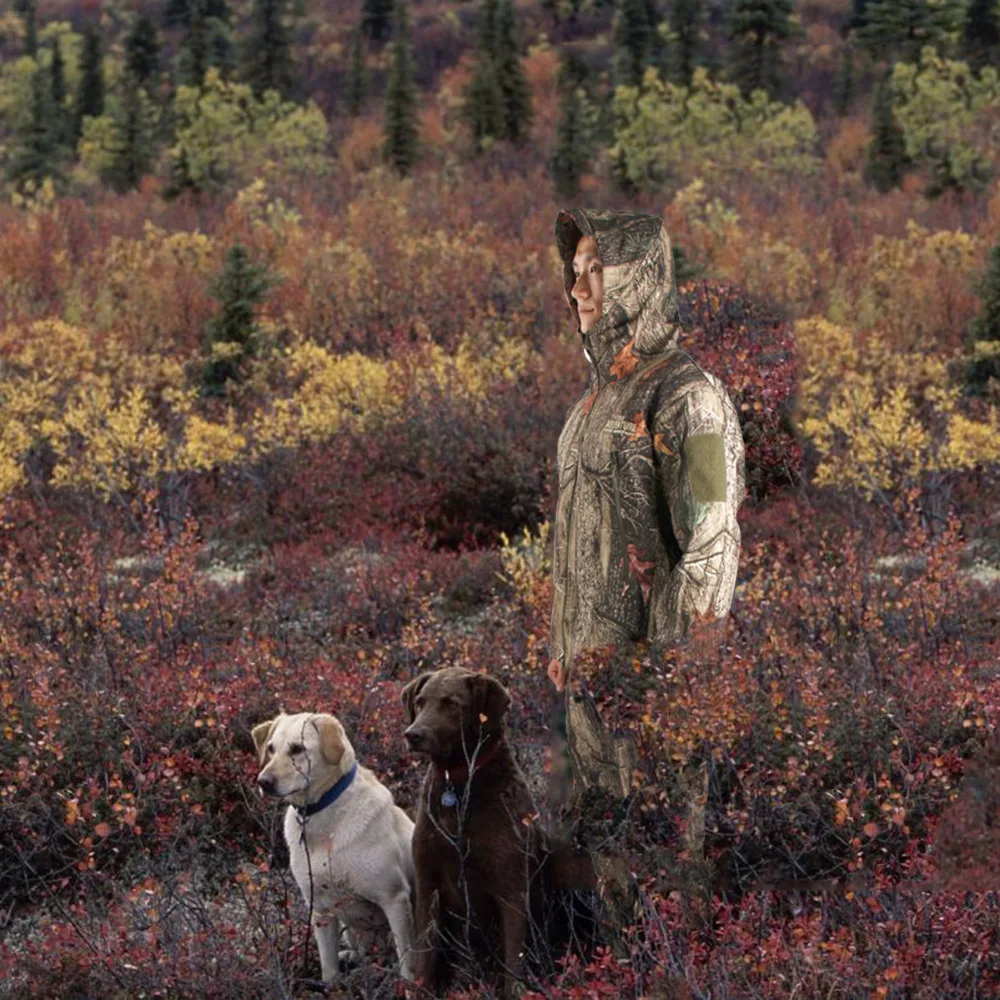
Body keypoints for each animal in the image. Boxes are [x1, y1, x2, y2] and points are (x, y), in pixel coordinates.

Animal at [256, 712, 420, 984]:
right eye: (270, 749)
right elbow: (329, 971)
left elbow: (407, 966)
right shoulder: (320, 910)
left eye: (297, 748)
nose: (263, 782)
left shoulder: (394, 899)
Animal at [402, 668, 596, 996]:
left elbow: (513, 963)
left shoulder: (511, 888)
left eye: (451, 704)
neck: (458, 788)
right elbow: (424, 961)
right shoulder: (427, 882)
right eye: (420, 701)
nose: (413, 735)